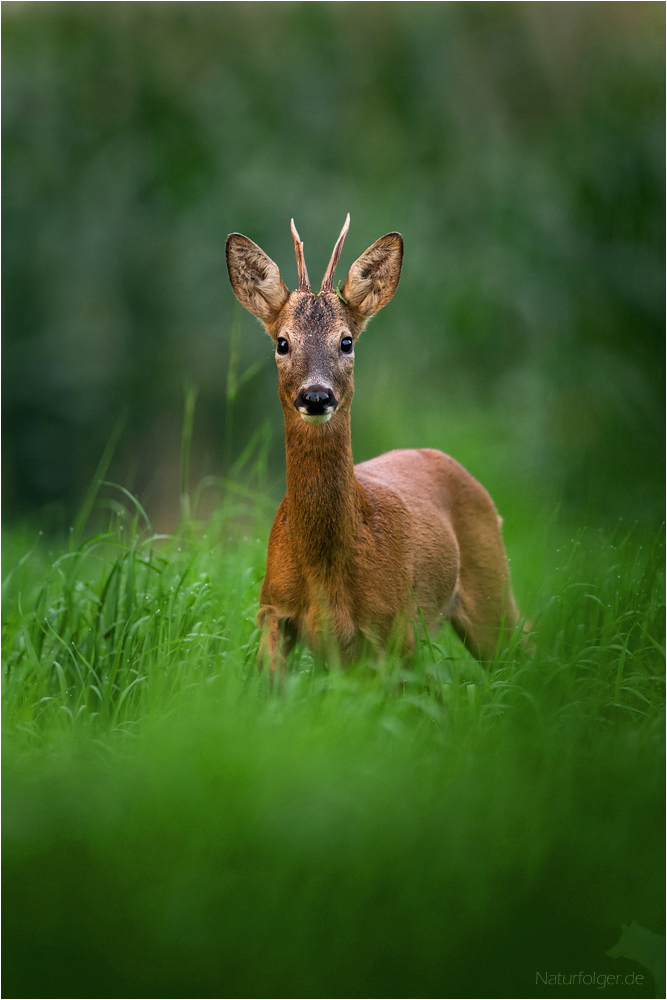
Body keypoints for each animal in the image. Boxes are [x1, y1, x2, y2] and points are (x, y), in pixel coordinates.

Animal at [227, 215, 524, 676]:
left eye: (346, 341)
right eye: (282, 342)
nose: (316, 396)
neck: (325, 570)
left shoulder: (396, 628)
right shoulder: (272, 608)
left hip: (491, 588)